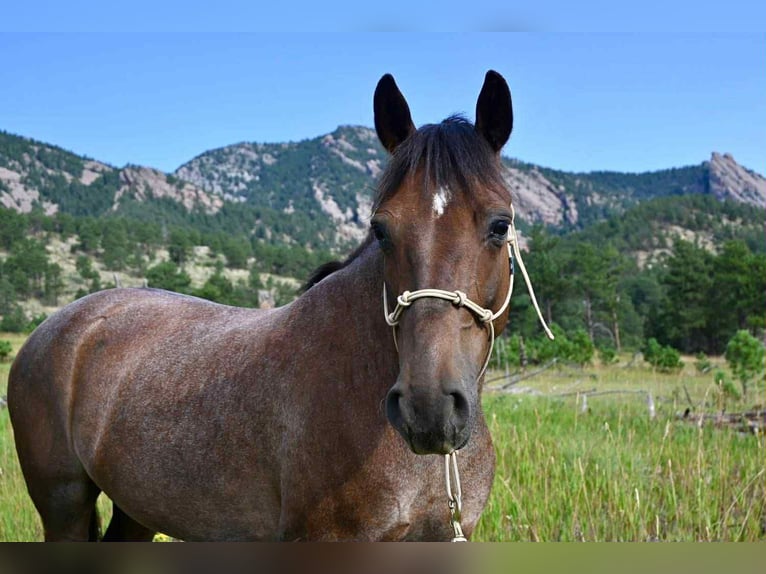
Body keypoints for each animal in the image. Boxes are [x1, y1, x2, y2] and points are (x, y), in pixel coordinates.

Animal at [9, 70, 532, 541]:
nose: (429, 408)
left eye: (500, 225)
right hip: (63, 505)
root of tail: (58, 326)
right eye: (381, 230)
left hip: (137, 509)